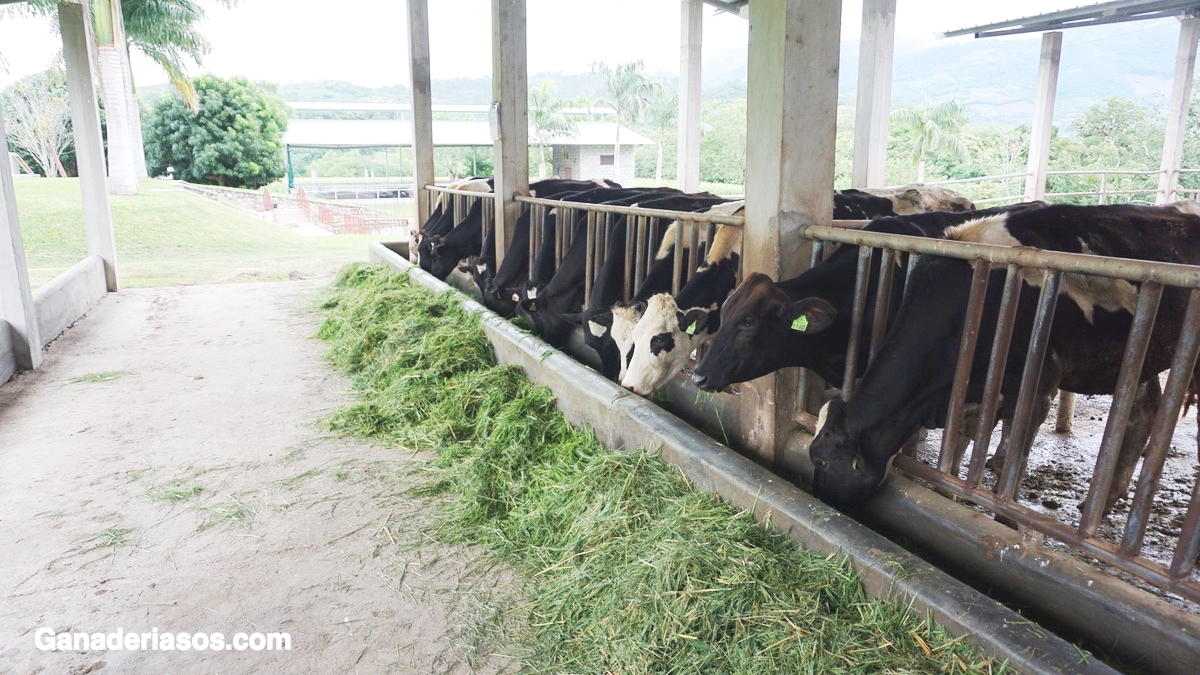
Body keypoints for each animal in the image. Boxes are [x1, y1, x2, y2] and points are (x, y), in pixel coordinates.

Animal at [801, 201, 1200, 511]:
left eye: (820, 460)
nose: (819, 496)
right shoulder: (972, 385)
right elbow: (961, 438)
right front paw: (956, 487)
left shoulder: (1037, 382)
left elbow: (1009, 461)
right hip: (1137, 357)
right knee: (1144, 409)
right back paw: (1103, 501)